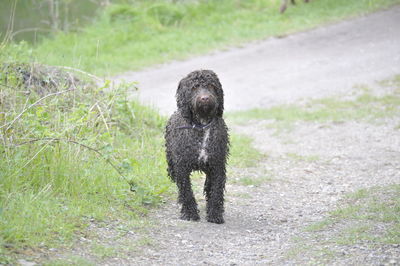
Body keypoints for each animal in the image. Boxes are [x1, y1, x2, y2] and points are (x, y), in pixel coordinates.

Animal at [165, 70, 228, 224]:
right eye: (194, 87)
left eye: (211, 86)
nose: (205, 98)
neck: (201, 125)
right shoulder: (181, 167)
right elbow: (186, 191)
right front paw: (189, 213)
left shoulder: (217, 165)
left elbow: (216, 191)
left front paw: (215, 214)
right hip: (171, 165)